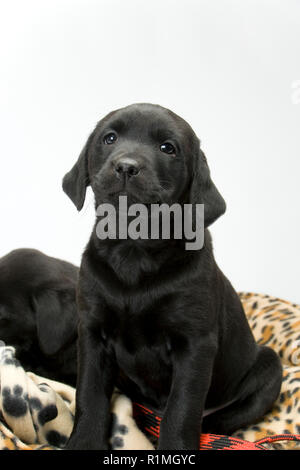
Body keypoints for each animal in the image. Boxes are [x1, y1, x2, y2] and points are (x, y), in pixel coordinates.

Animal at [62, 103, 282, 452]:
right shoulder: (93, 332)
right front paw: (83, 443)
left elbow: (181, 409)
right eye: (109, 138)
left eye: (168, 148)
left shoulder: (194, 344)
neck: (134, 250)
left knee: (219, 419)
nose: (126, 167)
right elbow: (90, 394)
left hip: (269, 367)